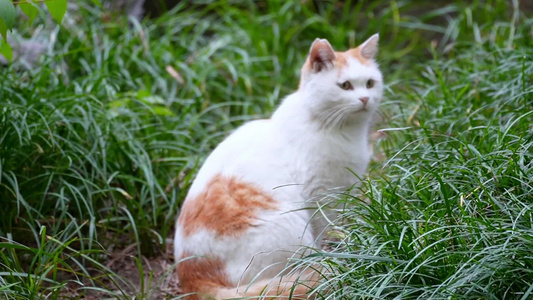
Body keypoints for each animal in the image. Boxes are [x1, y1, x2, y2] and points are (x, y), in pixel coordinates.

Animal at [172, 34, 380, 298]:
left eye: (370, 83)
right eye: (345, 86)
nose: (365, 99)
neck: (341, 131)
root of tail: (191, 278)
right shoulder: (319, 198)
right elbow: (321, 233)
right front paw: (326, 259)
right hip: (289, 227)